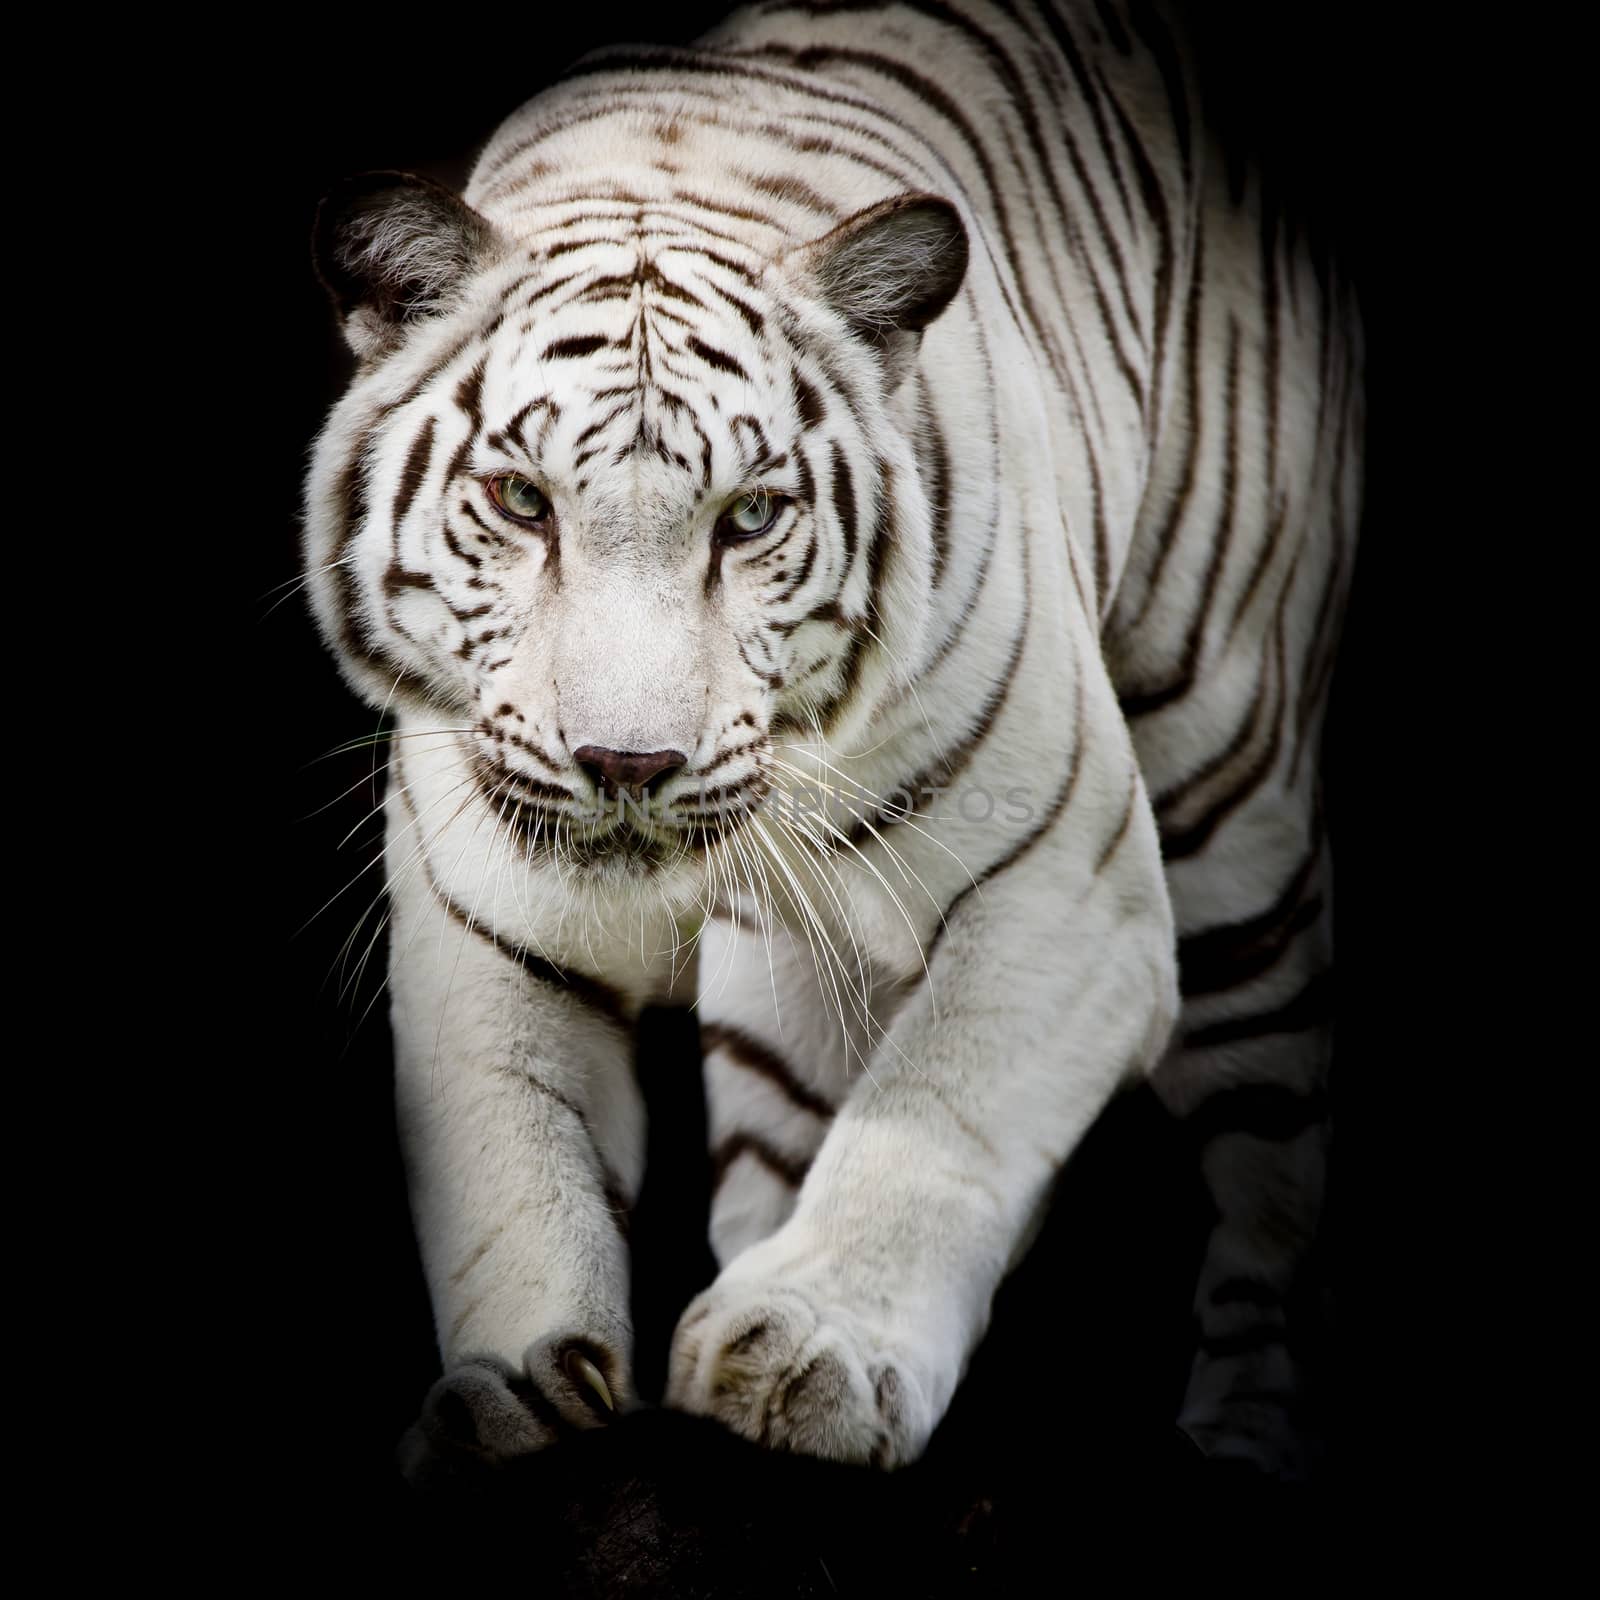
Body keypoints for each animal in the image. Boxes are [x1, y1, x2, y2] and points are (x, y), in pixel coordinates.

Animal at [302, 0, 1363, 1478]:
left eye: (749, 517)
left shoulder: (1068, 883)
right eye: (520, 501)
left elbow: (937, 1109)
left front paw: (813, 1355)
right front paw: (515, 1394)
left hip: (1232, 803)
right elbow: (513, 1163)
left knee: (1272, 1174)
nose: (627, 765)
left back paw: (1247, 1440)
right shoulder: (487, 915)